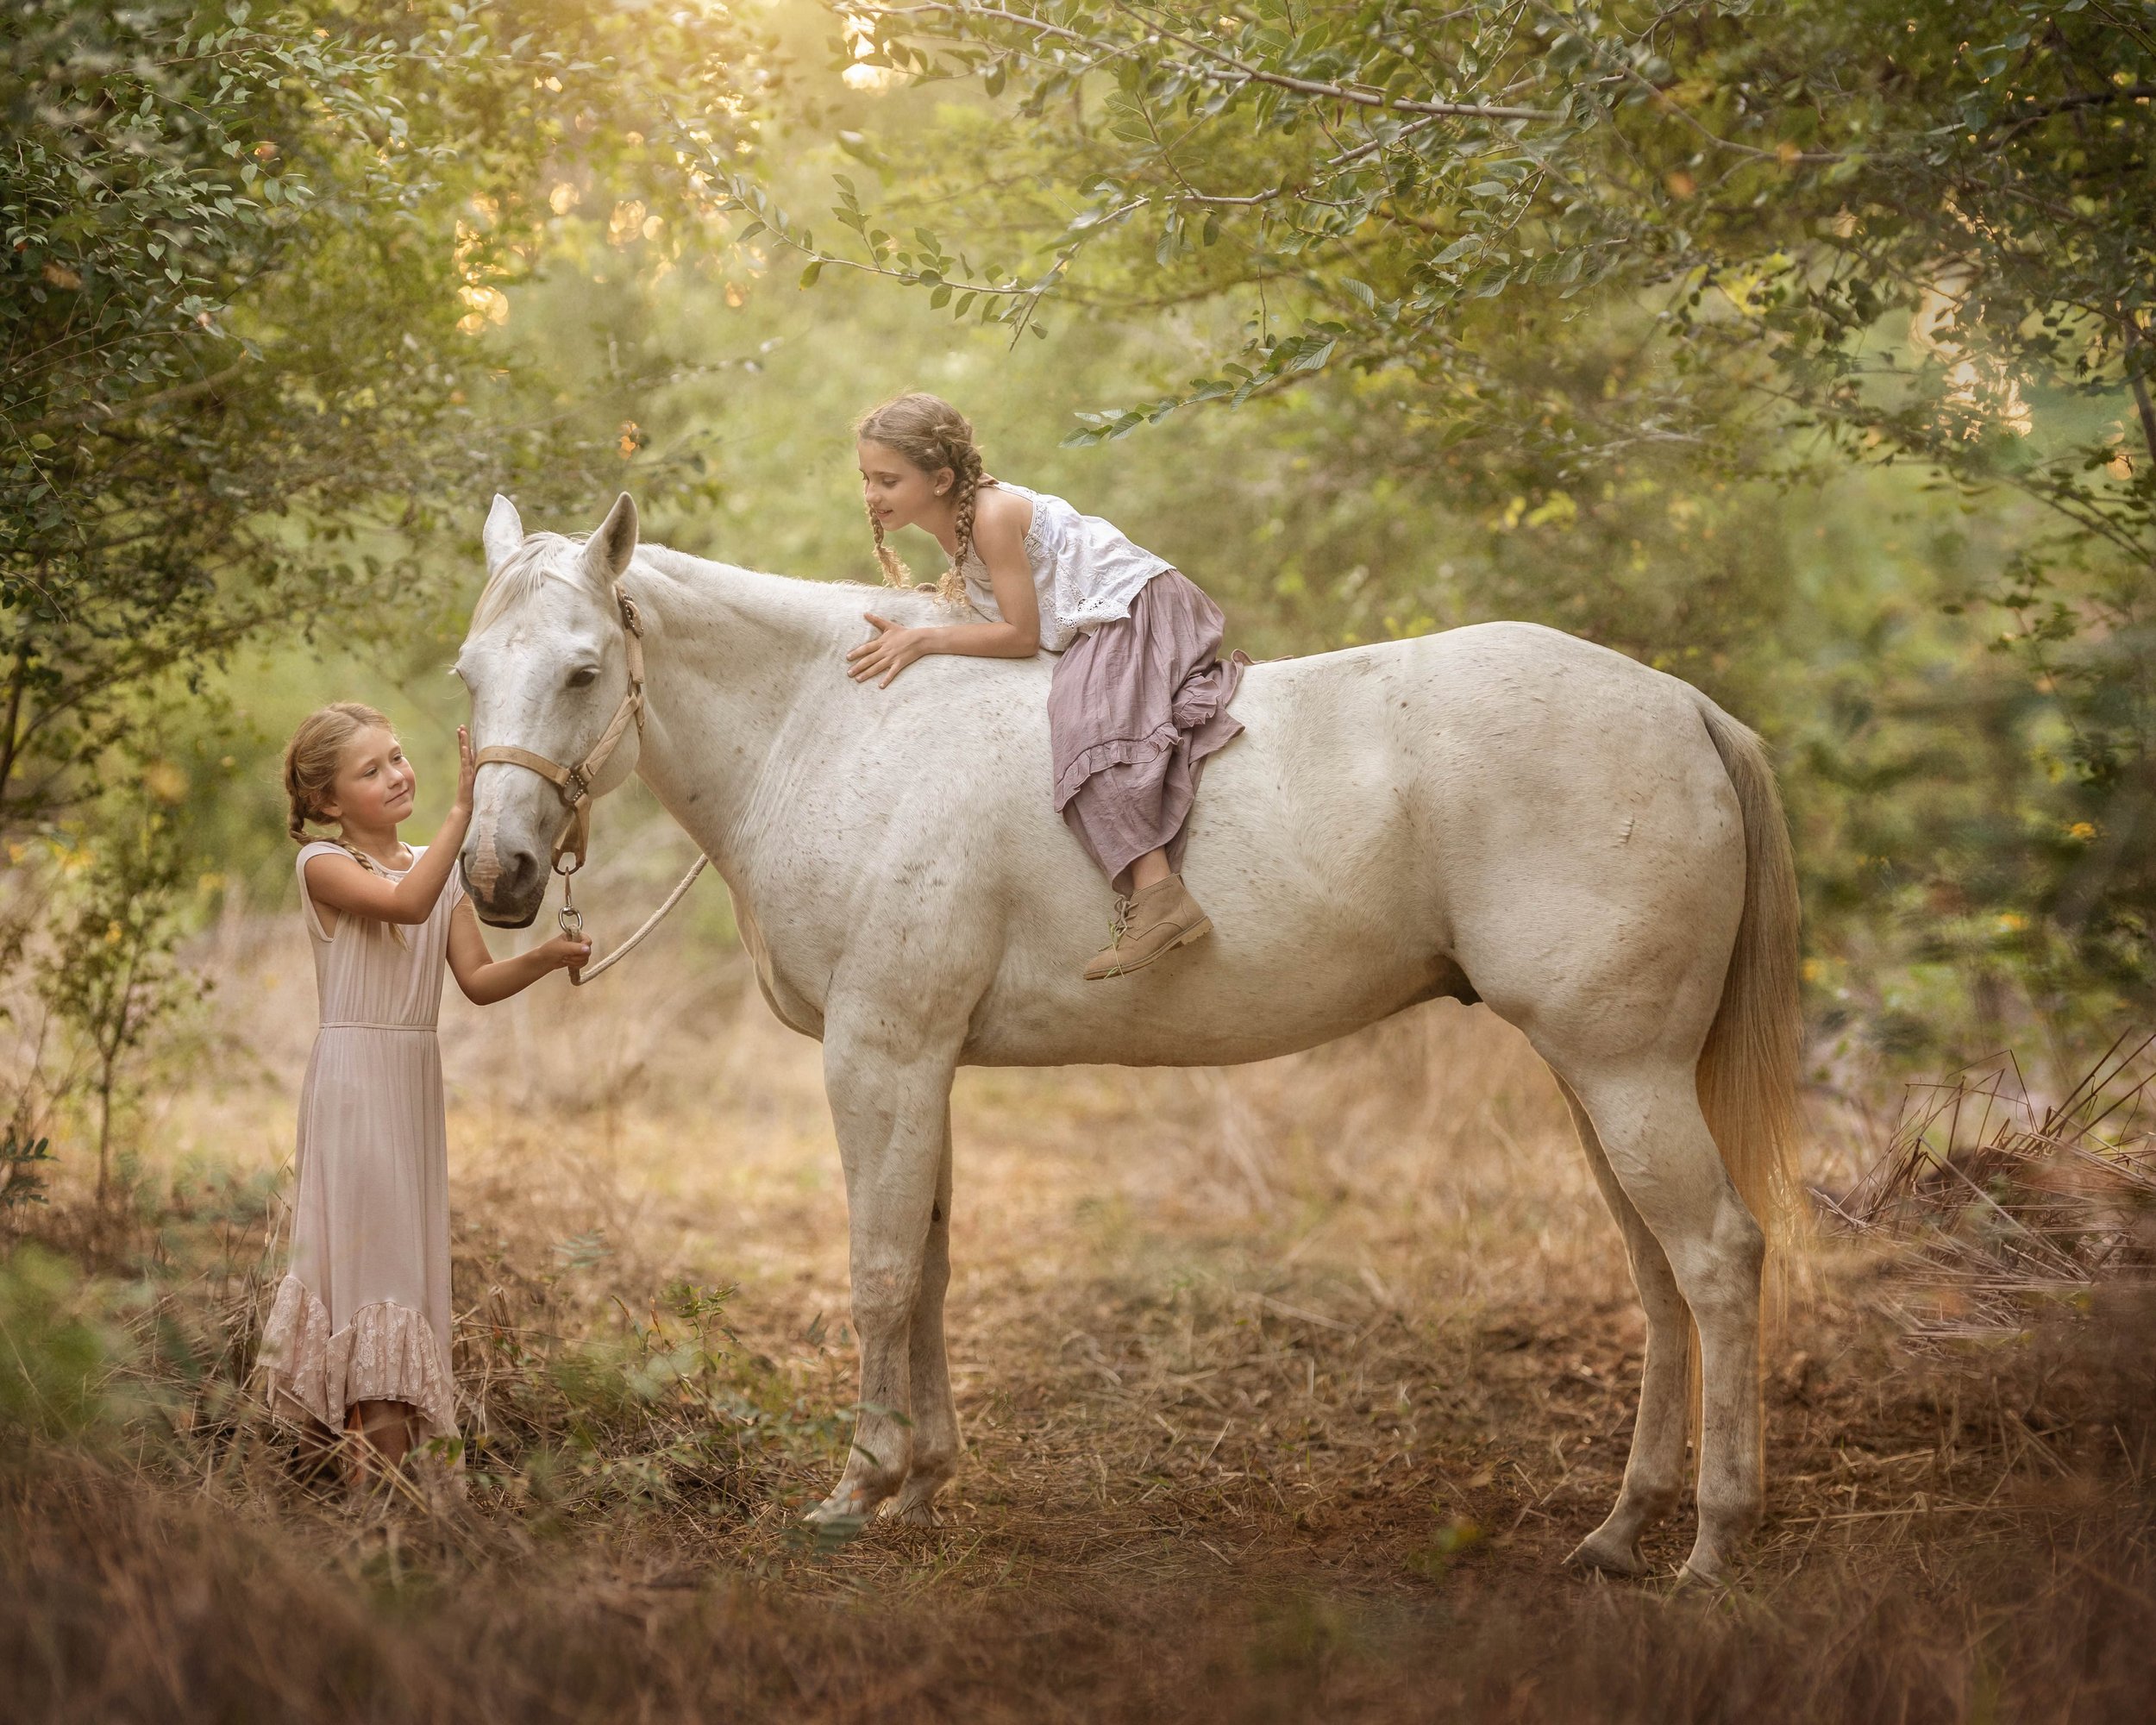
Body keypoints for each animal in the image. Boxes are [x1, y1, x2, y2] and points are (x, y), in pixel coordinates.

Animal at [454, 492, 1802, 1587]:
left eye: (582, 670)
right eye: (470, 672)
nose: (496, 874)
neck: (833, 728)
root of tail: (1684, 706)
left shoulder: (878, 1055)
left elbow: (881, 1271)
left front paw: (856, 1489)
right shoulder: (923, 1064)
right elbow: (930, 1267)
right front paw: (924, 1485)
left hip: (1623, 1075)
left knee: (1717, 1259)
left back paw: (1713, 1541)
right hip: (1596, 1080)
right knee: (1658, 1276)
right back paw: (1623, 1530)